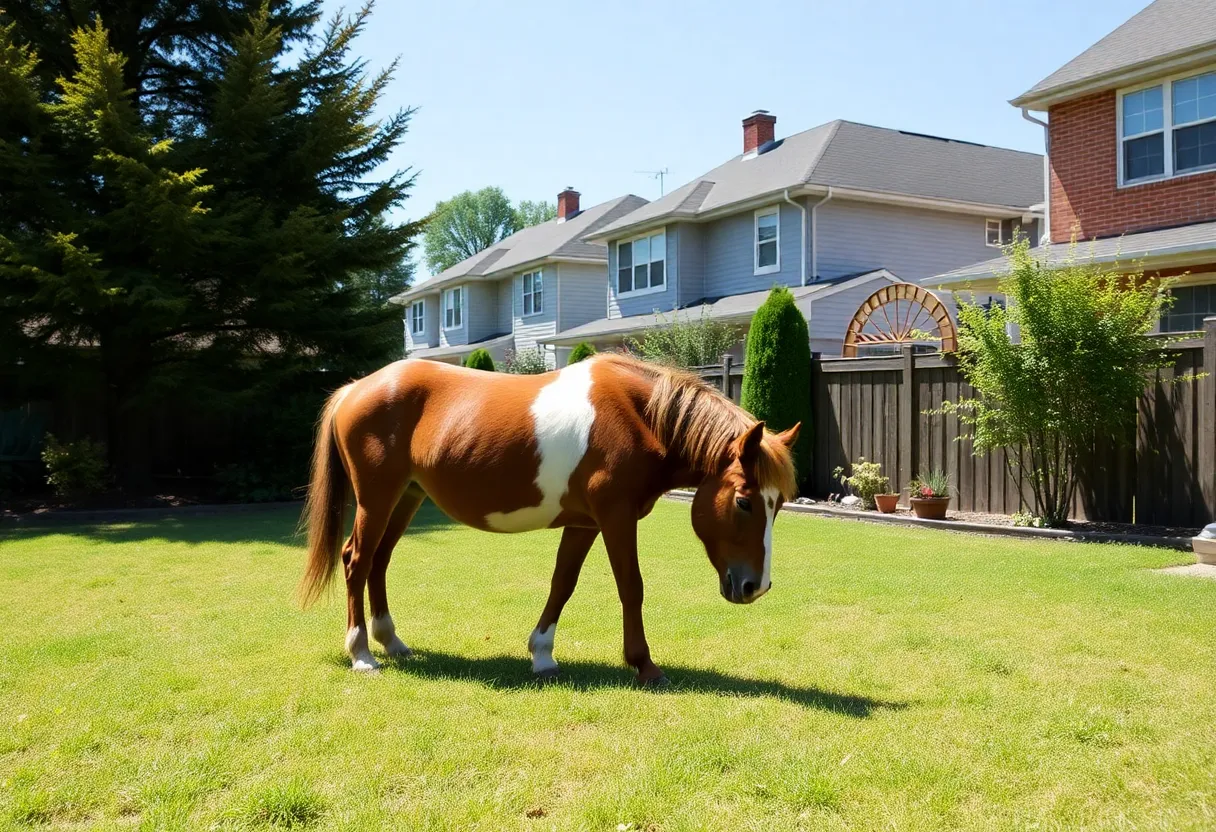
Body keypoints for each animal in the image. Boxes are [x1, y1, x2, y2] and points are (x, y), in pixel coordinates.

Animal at [299, 353, 800, 685]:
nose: (755, 586)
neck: (640, 416)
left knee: (379, 561)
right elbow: (631, 586)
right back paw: (362, 653)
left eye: (778, 504)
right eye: (745, 502)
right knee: (357, 560)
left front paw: (541, 653)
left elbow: (563, 583)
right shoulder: (616, 517)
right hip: (376, 499)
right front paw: (644, 664)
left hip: (406, 498)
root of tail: (355, 387)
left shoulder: (585, 523)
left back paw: (392, 642)